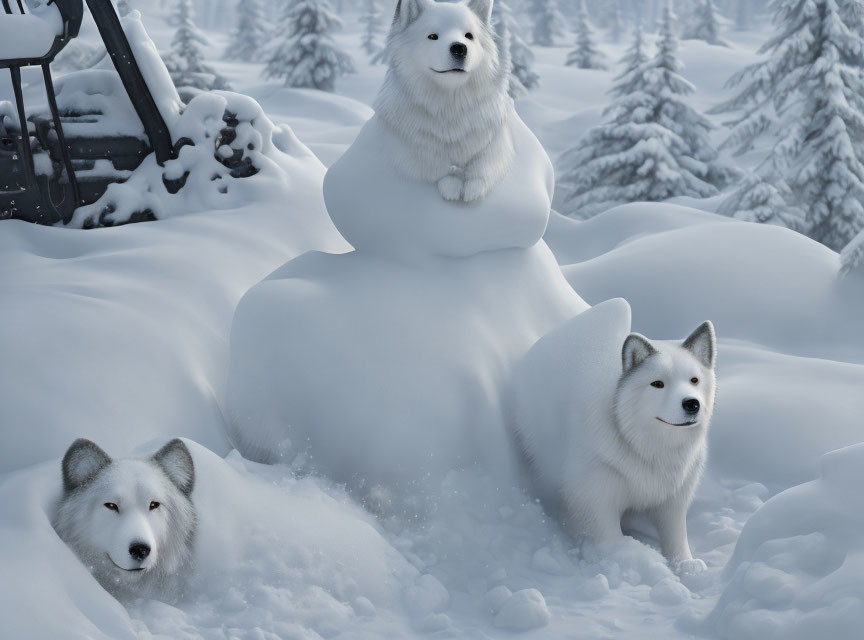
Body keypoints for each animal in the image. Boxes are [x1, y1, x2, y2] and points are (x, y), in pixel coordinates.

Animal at [376, 0, 512, 201]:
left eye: (469, 36)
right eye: (433, 36)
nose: (459, 48)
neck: (450, 106)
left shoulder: (495, 138)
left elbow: (484, 163)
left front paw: (473, 188)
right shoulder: (409, 146)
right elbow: (436, 164)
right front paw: (452, 186)